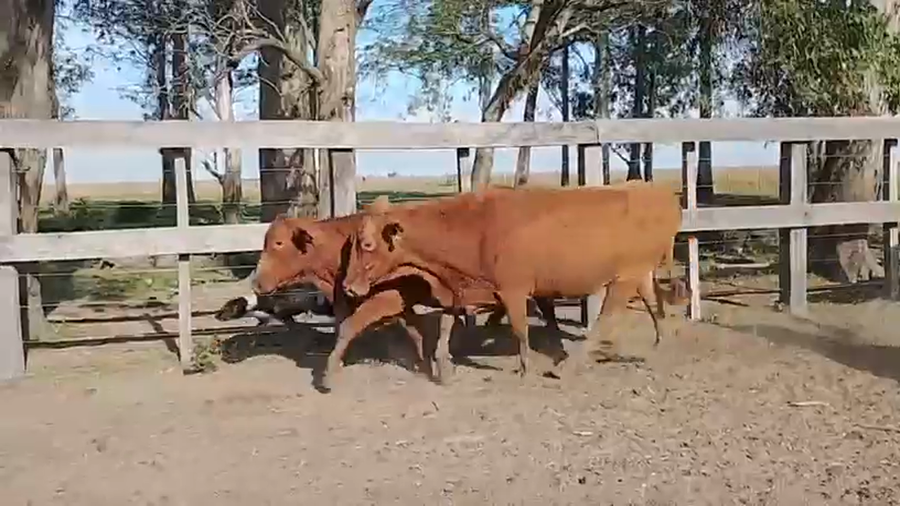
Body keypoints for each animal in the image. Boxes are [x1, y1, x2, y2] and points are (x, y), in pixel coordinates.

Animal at [250, 211, 560, 389]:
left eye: (278, 244)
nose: (256, 282)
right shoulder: (400, 304)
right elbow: (416, 331)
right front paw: (432, 364)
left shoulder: (387, 300)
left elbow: (349, 327)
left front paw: (328, 375)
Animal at [341, 181, 692, 378]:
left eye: (367, 244)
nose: (348, 286)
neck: (474, 228)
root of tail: (657, 192)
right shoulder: (465, 289)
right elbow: (446, 324)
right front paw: (443, 364)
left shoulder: (513, 290)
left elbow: (520, 329)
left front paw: (525, 366)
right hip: (639, 272)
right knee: (652, 304)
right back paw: (659, 346)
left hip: (623, 278)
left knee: (607, 318)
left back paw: (569, 364)